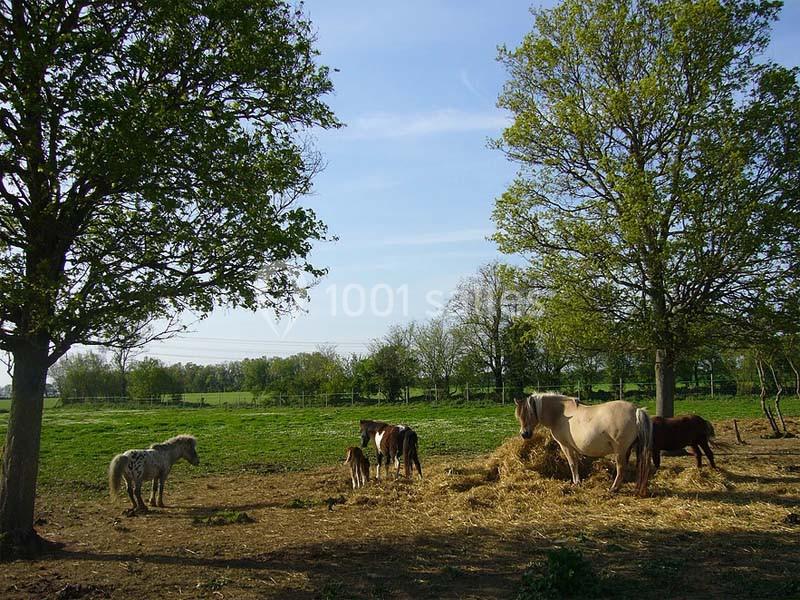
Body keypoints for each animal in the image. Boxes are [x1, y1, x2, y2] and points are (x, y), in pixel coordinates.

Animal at [515, 393, 652, 496]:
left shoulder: (565, 446)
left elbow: (572, 464)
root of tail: (636, 410)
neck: (560, 413)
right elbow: (575, 463)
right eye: (518, 415)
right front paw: (578, 481)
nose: (524, 434)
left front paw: (576, 482)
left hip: (620, 451)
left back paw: (613, 489)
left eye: (530, 413)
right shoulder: (573, 447)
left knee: (621, 469)